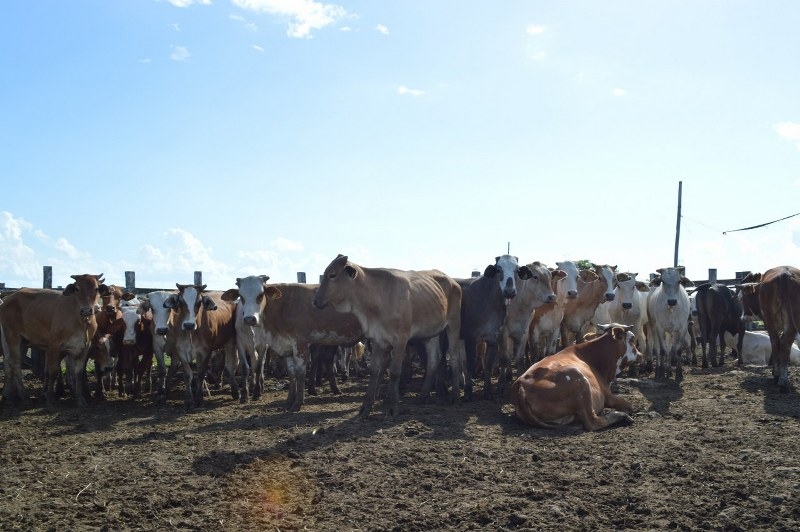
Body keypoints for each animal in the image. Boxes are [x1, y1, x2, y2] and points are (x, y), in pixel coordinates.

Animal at [0, 274, 106, 408]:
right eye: (77, 288)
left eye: (96, 288)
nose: (87, 310)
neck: (81, 321)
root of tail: (10, 297)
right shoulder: (53, 347)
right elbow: (53, 372)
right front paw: (50, 399)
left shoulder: (84, 347)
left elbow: (78, 373)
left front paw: (80, 399)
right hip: (13, 337)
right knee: (15, 364)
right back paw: (24, 397)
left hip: (23, 341)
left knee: (12, 363)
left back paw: (9, 397)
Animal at [312, 256, 462, 418]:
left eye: (332, 275)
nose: (315, 301)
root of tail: (453, 281)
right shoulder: (377, 339)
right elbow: (374, 371)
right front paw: (365, 407)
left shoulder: (401, 339)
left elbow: (395, 371)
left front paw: (392, 407)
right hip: (431, 332)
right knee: (434, 358)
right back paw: (422, 396)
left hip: (454, 324)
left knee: (454, 357)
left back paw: (455, 396)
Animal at [512, 324, 644, 432]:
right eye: (632, 339)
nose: (641, 355)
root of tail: (521, 385)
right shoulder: (608, 395)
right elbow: (629, 405)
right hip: (579, 381)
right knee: (593, 422)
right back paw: (622, 416)